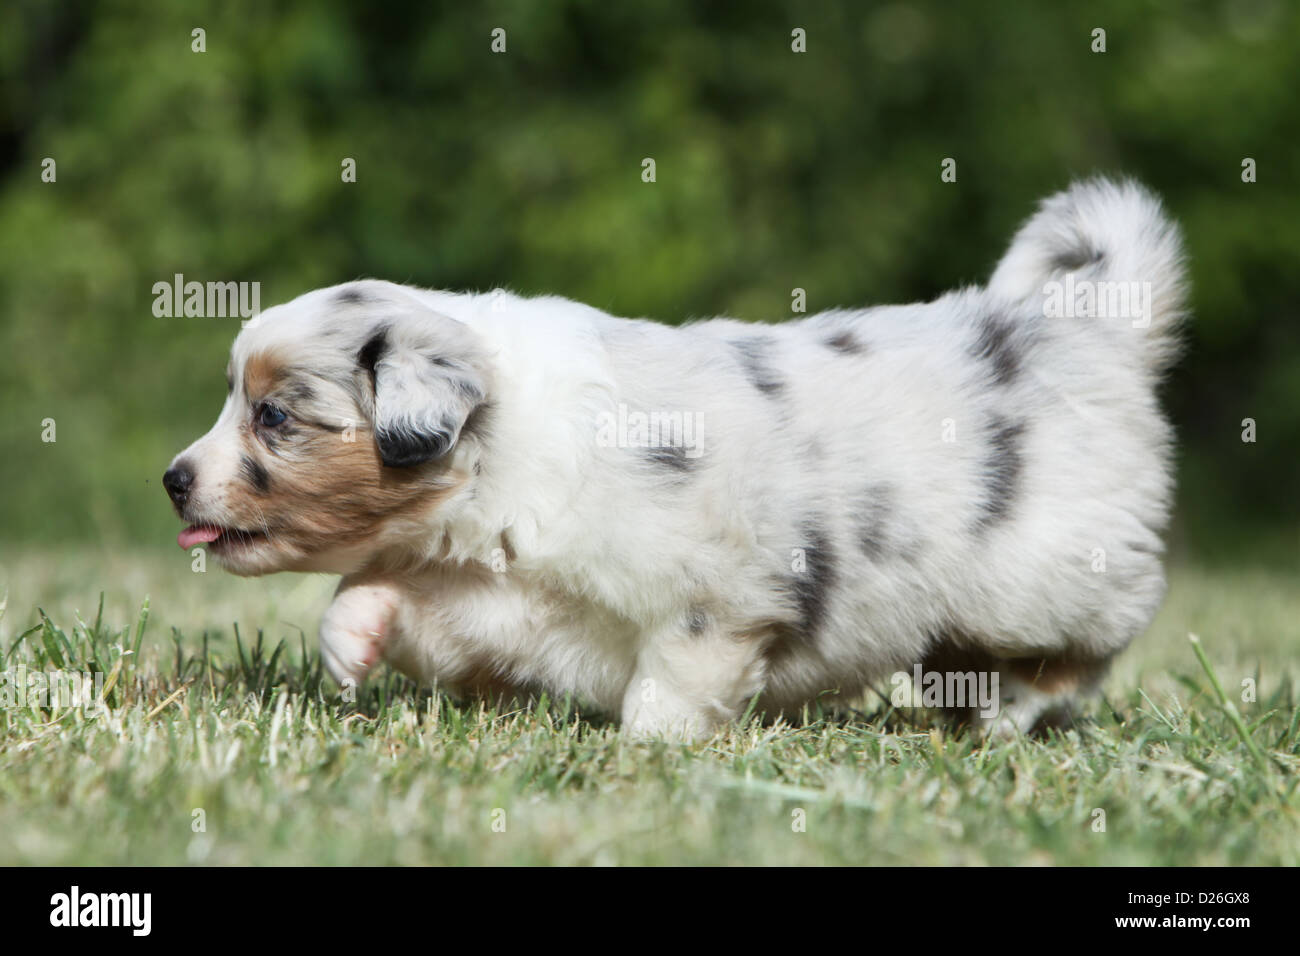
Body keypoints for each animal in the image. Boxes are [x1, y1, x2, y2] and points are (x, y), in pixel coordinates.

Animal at [165, 175, 1190, 738]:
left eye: (274, 416)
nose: (172, 481)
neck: (505, 453)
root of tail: (1094, 330)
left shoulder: (716, 595)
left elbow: (676, 680)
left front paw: (648, 755)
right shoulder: (507, 598)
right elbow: (386, 595)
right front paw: (350, 645)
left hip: (1046, 572)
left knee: (1098, 640)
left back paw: (1010, 715)